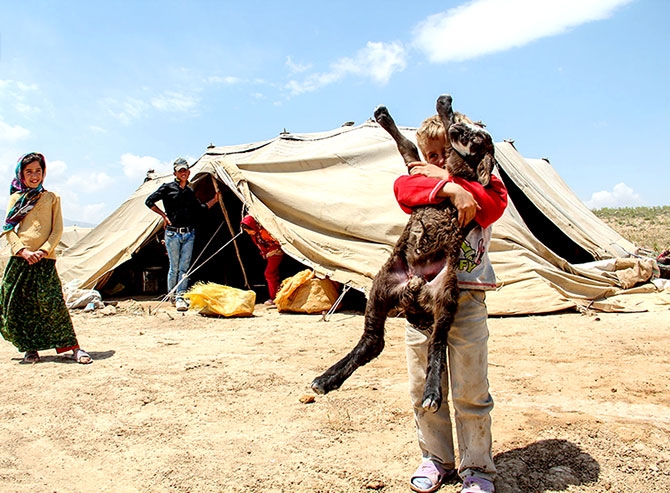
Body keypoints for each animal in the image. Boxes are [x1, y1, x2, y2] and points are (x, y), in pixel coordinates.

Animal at [312, 95, 496, 412]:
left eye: (478, 138)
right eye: (470, 129)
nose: (461, 129)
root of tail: (415, 286)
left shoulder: (457, 168)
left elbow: (442, 153)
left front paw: (445, 113)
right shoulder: (418, 166)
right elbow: (409, 148)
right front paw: (436, 108)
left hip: (446, 294)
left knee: (436, 343)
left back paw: (431, 393)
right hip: (381, 286)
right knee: (373, 341)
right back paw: (327, 379)